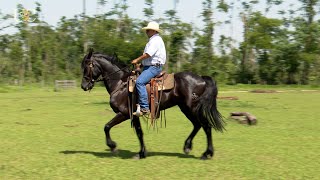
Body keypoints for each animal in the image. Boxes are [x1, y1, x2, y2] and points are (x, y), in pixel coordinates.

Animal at [80, 48, 225, 159]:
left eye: (87, 66)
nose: (84, 86)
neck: (121, 83)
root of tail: (202, 79)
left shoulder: (124, 113)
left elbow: (107, 126)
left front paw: (113, 146)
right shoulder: (134, 115)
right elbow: (139, 133)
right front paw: (141, 153)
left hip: (192, 108)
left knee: (206, 126)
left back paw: (207, 153)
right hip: (185, 108)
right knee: (197, 125)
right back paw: (188, 146)